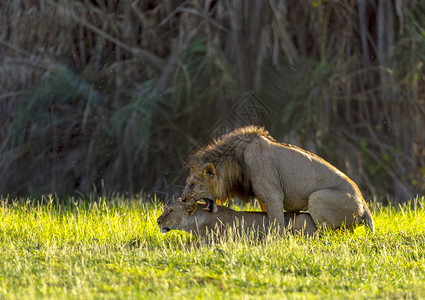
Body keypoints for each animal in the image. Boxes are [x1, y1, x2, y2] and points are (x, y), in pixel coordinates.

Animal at [181, 125, 372, 233]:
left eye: (192, 185)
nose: (182, 199)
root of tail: (365, 206)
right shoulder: (263, 198)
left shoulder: (273, 195)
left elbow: (278, 223)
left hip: (316, 197)